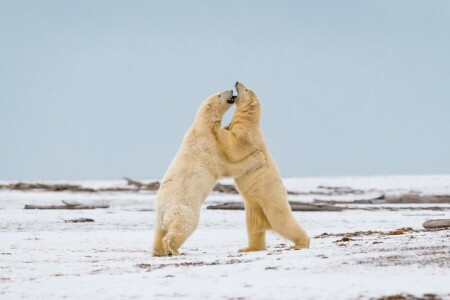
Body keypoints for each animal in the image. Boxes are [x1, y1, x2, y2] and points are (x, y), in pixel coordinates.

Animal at [151, 89, 266, 255]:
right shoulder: (209, 148)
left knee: (159, 233)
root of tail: (162, 210)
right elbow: (229, 167)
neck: (202, 128)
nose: (230, 90)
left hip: (159, 219)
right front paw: (259, 156)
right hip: (183, 209)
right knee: (184, 225)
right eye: (219, 95)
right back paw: (174, 249)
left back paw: (158, 251)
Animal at [217, 82, 310, 251]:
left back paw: (301, 243)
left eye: (246, 89)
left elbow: (233, 144)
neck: (250, 121)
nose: (236, 82)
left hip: (271, 200)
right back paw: (248, 248)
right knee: (254, 227)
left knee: (283, 221)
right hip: (254, 207)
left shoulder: (247, 136)